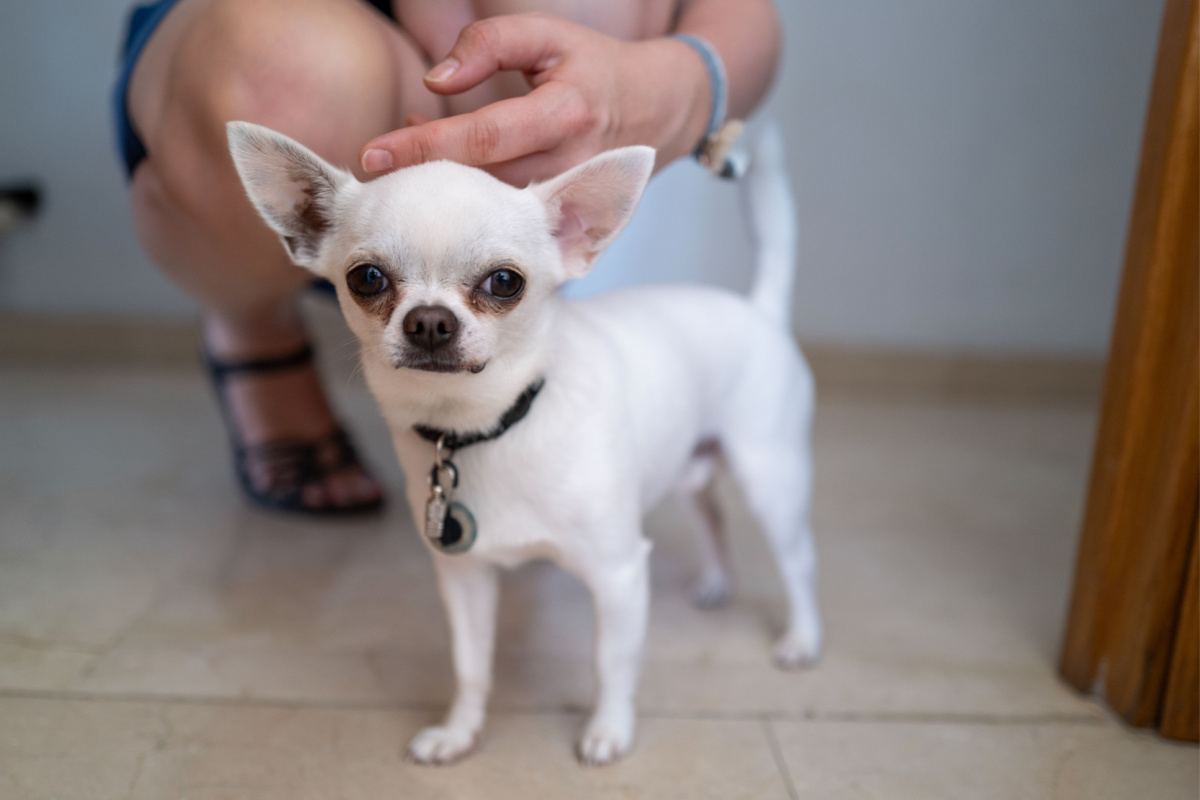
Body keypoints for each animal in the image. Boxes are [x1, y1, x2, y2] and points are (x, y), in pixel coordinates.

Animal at [226, 122, 816, 767]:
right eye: (367, 278)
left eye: (505, 282)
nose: (429, 320)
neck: (485, 428)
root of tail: (757, 308)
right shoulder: (465, 577)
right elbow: (470, 665)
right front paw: (459, 732)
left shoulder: (618, 576)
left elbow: (610, 663)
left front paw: (609, 731)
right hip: (690, 463)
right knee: (710, 513)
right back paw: (716, 582)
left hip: (769, 479)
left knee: (797, 558)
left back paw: (802, 639)